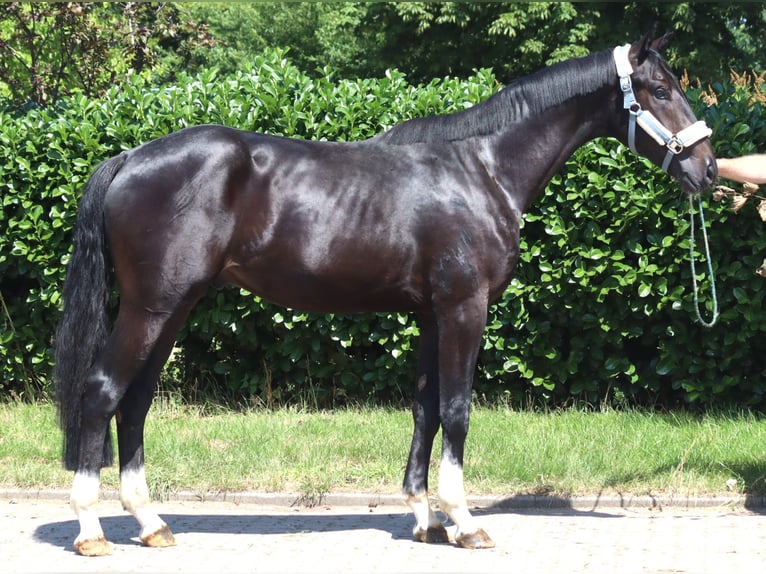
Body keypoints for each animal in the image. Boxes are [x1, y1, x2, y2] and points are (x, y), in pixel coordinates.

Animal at [54, 32, 716, 556]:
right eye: (660, 89)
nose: (708, 169)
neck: (484, 170)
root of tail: (129, 157)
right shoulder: (463, 309)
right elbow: (457, 410)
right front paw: (465, 523)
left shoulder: (429, 315)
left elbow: (425, 409)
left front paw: (426, 521)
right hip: (152, 308)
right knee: (102, 392)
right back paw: (91, 531)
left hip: (173, 309)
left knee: (135, 403)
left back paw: (151, 524)